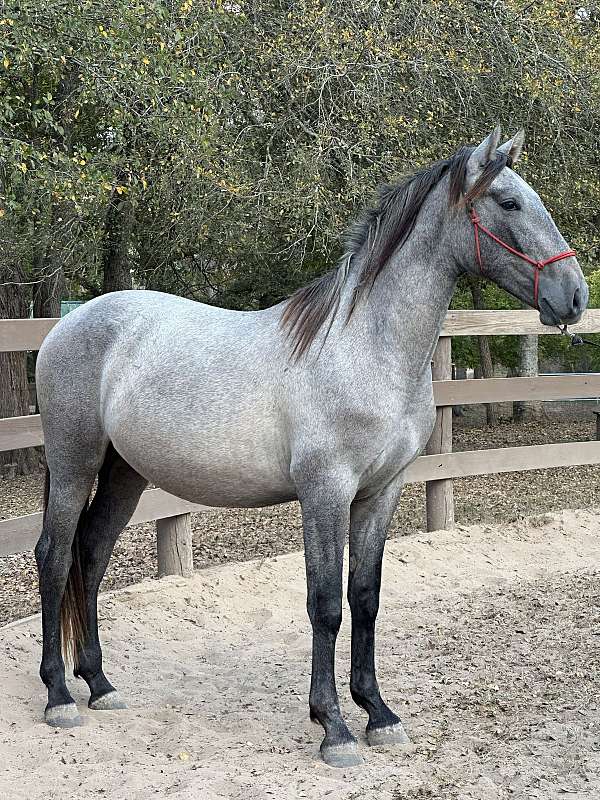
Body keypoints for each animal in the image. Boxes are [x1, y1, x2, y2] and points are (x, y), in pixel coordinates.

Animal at [34, 127, 587, 767]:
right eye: (508, 203)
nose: (575, 296)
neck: (363, 345)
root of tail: (67, 325)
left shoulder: (380, 492)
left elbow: (365, 598)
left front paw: (378, 713)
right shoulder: (325, 493)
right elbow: (324, 604)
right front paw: (334, 727)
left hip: (125, 472)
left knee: (91, 555)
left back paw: (99, 684)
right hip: (74, 462)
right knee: (55, 556)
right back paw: (59, 696)